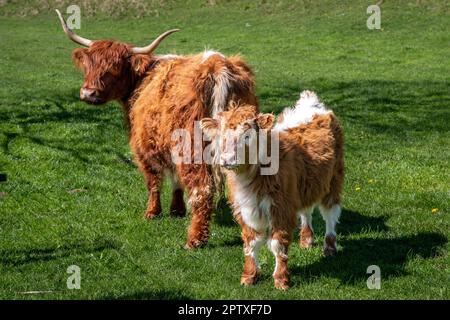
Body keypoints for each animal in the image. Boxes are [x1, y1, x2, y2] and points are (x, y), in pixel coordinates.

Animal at [200, 90, 344, 290]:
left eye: (247, 136)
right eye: (221, 137)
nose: (227, 160)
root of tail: (311, 103)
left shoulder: (281, 208)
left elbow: (277, 244)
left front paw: (281, 279)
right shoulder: (245, 208)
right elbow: (251, 242)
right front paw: (249, 276)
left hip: (334, 179)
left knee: (330, 213)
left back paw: (330, 247)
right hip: (304, 184)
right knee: (306, 210)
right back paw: (306, 240)